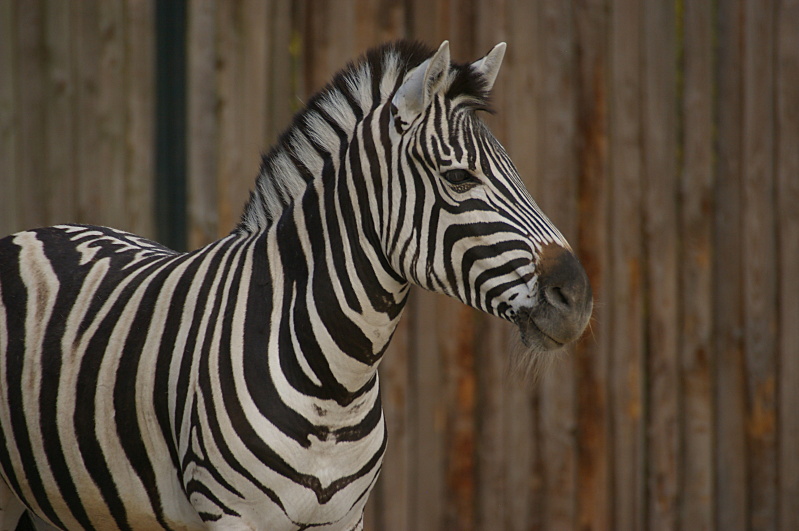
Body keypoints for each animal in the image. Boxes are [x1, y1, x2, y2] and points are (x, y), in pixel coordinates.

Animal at [1, 39, 592, 528]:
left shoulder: (344, 519)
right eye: (459, 178)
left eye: (514, 170)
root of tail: (32, 232)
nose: (578, 297)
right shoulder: (232, 516)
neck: (336, 384)